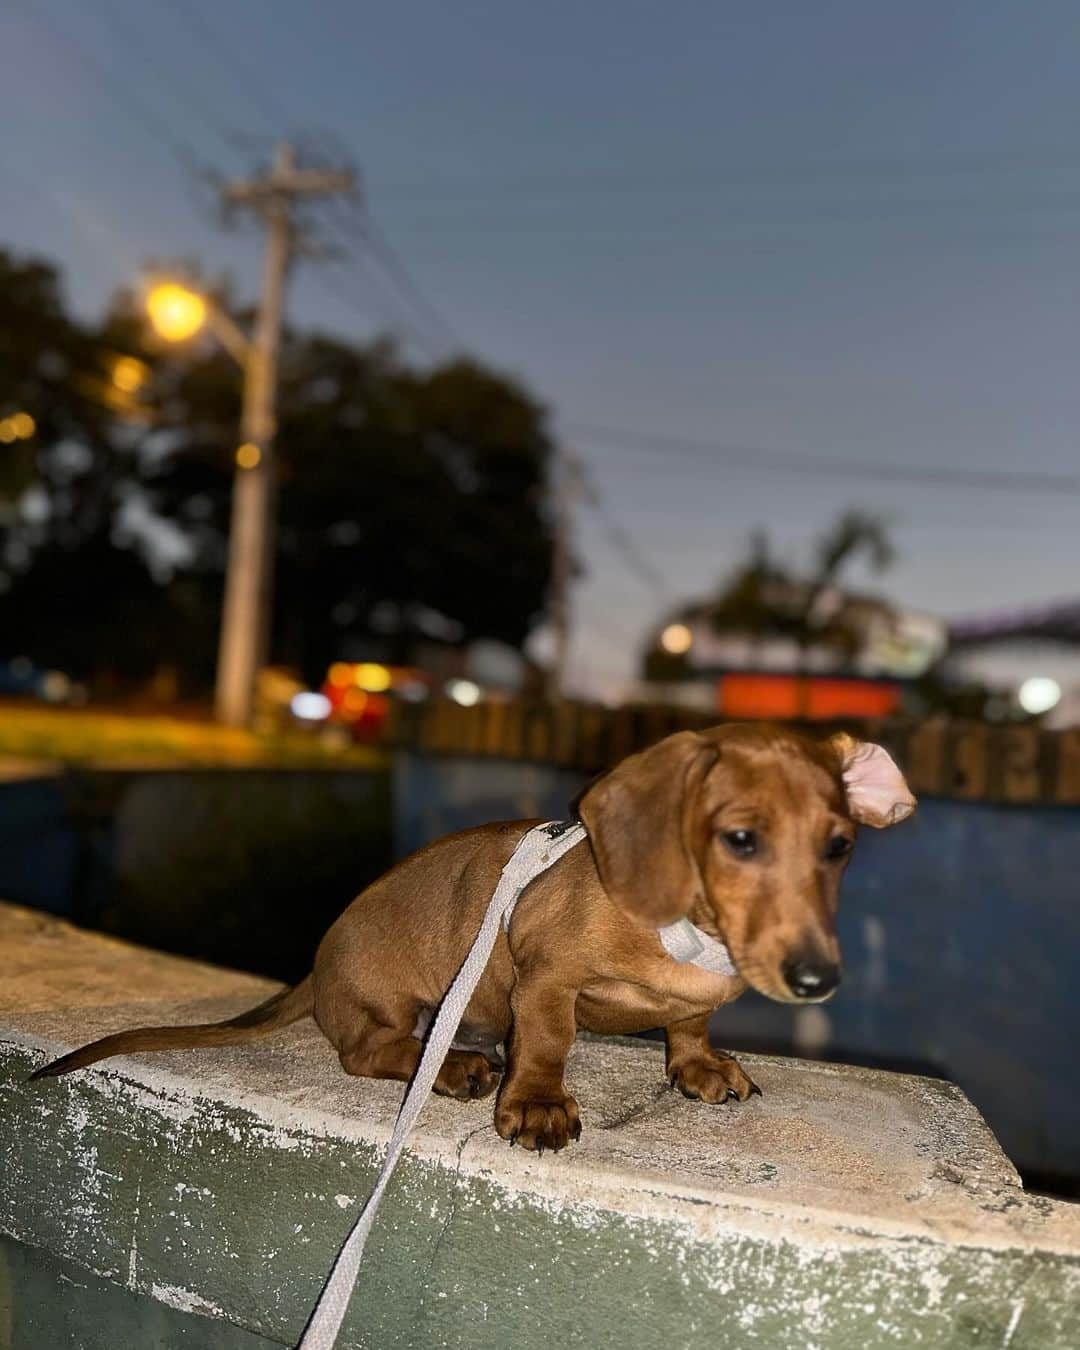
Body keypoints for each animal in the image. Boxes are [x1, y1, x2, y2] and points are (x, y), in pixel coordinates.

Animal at [33, 729, 912, 1150]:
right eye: (740, 839)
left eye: (839, 845)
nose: (817, 980)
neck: (690, 939)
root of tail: (314, 972)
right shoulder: (545, 980)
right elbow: (549, 1043)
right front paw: (538, 1105)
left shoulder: (695, 999)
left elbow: (691, 1023)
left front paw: (700, 1066)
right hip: (390, 1001)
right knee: (369, 1053)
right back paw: (456, 1067)